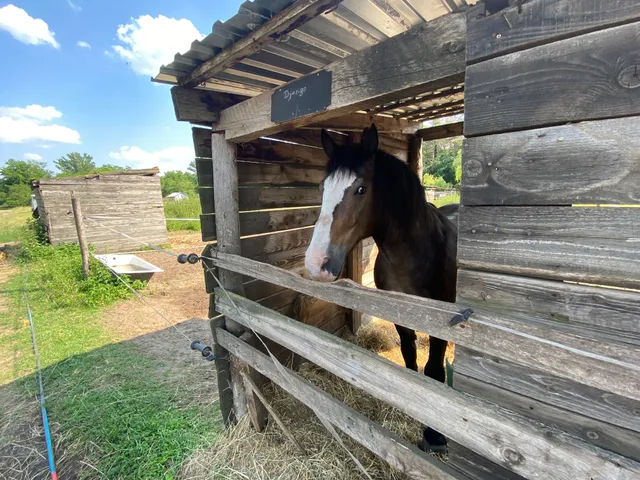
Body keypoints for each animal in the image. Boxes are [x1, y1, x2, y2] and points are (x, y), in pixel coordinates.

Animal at [304, 124, 458, 454]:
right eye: (323, 187)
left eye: (361, 189)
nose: (316, 263)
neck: (416, 256)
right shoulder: (400, 317)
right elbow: (410, 358)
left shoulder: (439, 326)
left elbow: (434, 370)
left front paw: (434, 435)